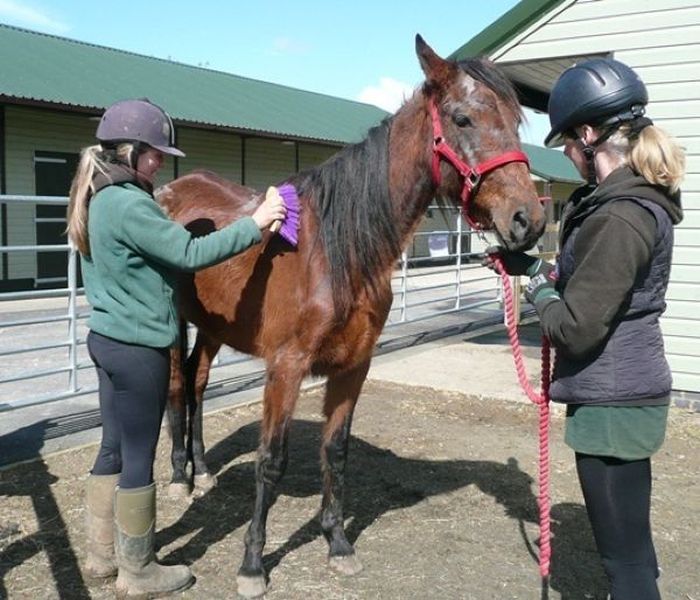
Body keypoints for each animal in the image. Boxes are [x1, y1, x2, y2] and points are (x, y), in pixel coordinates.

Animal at [160, 35, 548, 596]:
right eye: (462, 118)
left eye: (516, 122)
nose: (528, 220)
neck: (337, 251)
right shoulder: (286, 368)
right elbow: (271, 461)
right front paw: (252, 564)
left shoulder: (353, 366)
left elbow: (336, 451)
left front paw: (338, 543)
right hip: (172, 323)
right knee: (175, 383)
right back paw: (177, 476)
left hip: (213, 328)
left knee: (198, 379)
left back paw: (202, 467)